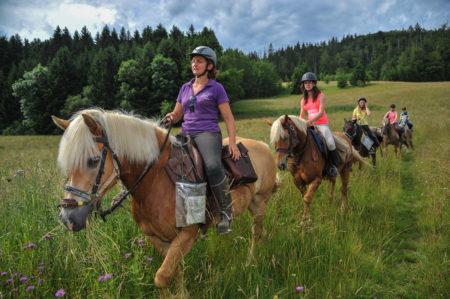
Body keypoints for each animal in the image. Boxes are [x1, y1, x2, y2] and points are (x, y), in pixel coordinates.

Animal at [51, 109, 278, 298]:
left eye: (93, 161)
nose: (68, 218)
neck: (155, 180)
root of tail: (264, 146)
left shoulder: (187, 235)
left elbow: (161, 277)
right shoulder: (158, 238)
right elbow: (172, 272)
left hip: (260, 202)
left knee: (255, 233)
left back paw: (250, 261)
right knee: (260, 232)